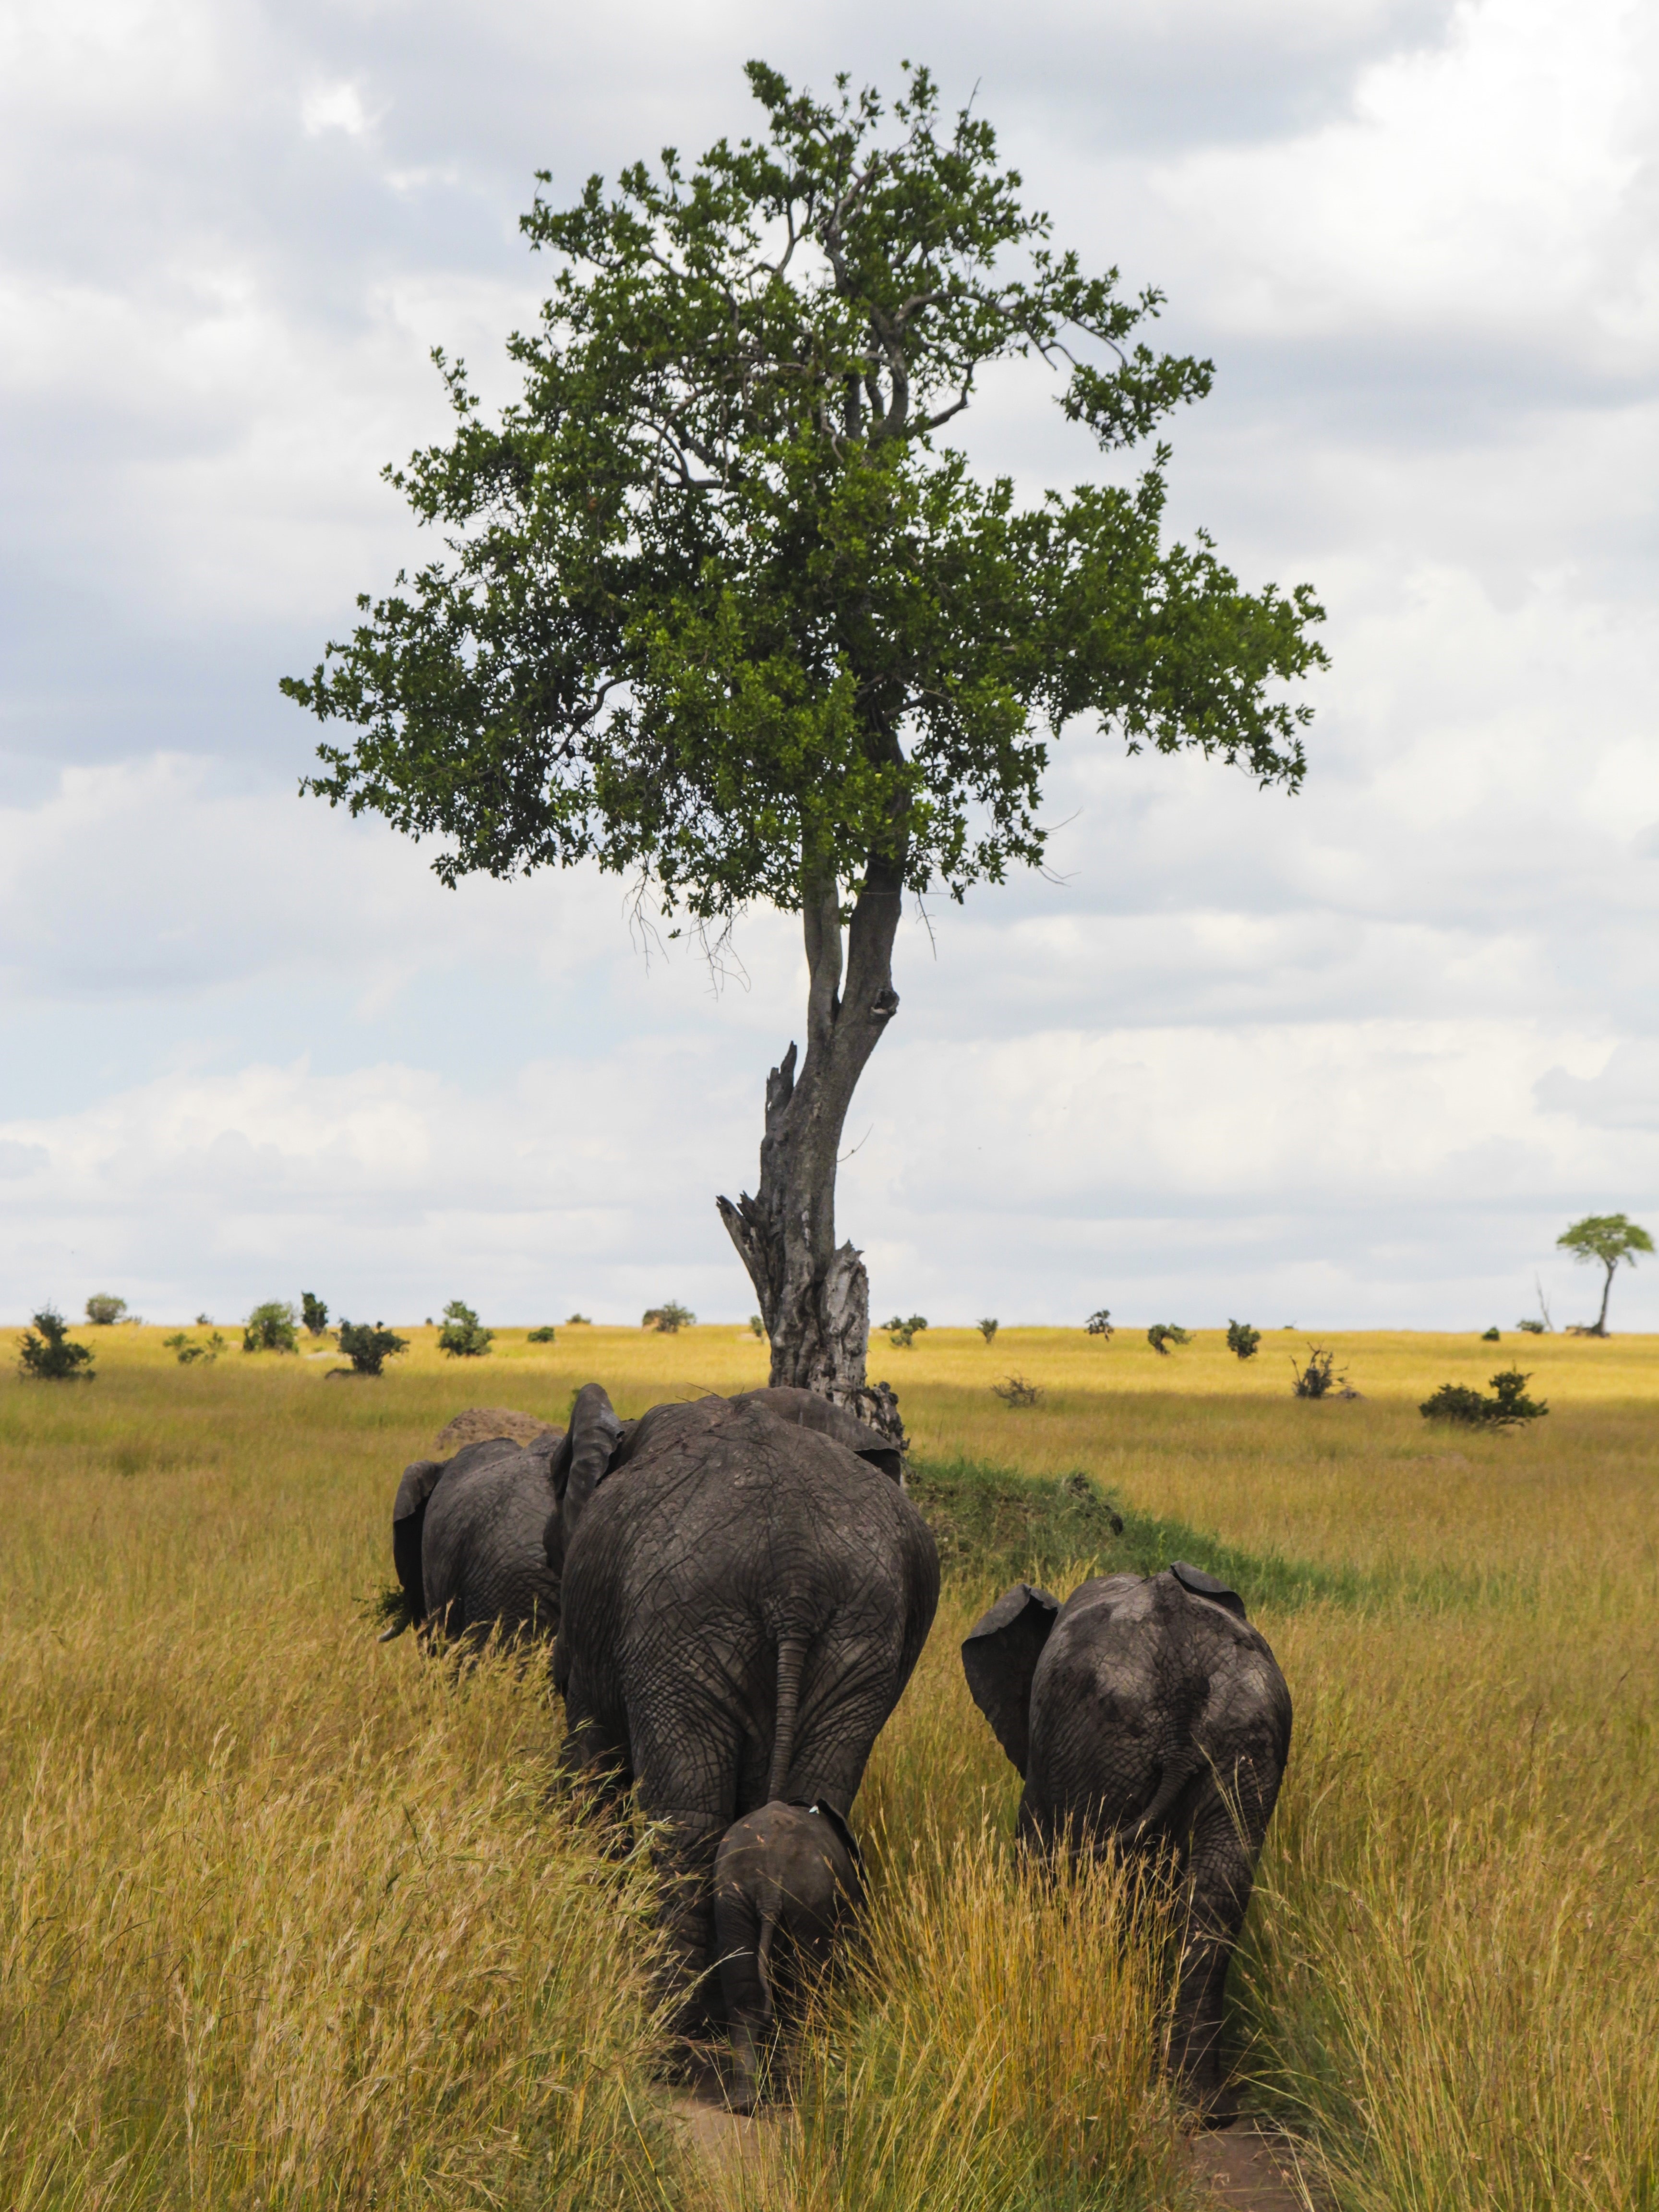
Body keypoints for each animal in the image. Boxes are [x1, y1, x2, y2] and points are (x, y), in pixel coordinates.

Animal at [716, 1796, 871, 2105]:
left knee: (746, 1992)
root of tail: (769, 1886)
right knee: (803, 1995)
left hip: (733, 1900)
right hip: (810, 1902)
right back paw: (794, 2092)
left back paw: (745, 2102)